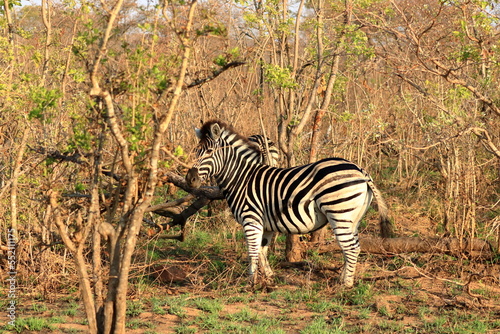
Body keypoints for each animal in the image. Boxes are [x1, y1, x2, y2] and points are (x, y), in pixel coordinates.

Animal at [186, 119, 392, 288]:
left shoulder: (251, 218)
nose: (190, 179)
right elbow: (262, 250)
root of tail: (360, 170)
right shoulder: (266, 223)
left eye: (209, 152)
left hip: (339, 213)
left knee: (351, 248)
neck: (241, 178)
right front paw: (269, 277)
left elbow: (252, 251)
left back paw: (345, 285)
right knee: (354, 246)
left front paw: (251, 282)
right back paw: (342, 279)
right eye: (195, 151)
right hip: (353, 218)